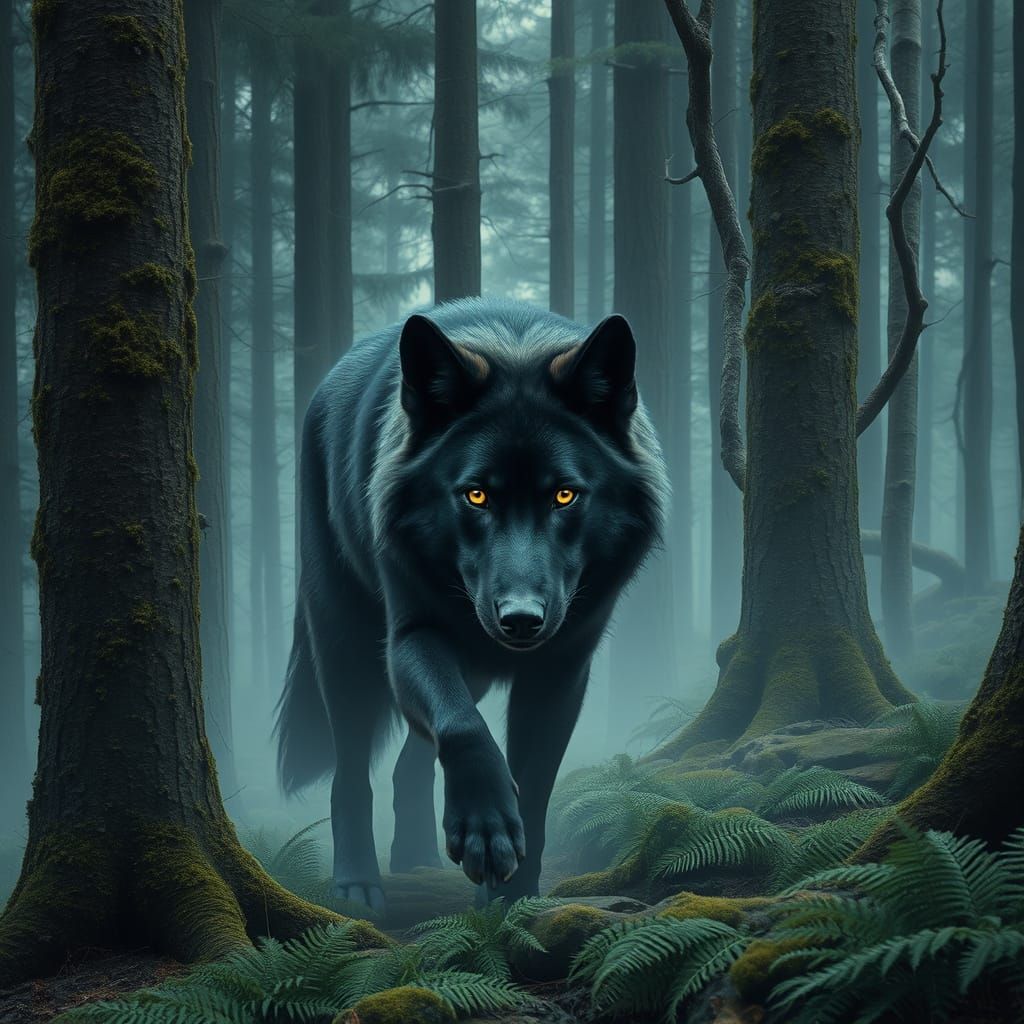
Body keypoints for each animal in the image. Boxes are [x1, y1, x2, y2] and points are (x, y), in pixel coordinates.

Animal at [276, 298, 668, 910]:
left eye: (565, 495)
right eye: (476, 495)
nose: (522, 620)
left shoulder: (562, 668)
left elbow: (536, 783)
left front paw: (512, 899)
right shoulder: (411, 636)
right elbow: (462, 725)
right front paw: (486, 827)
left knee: (409, 765)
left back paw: (414, 858)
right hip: (344, 646)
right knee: (351, 772)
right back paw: (357, 884)